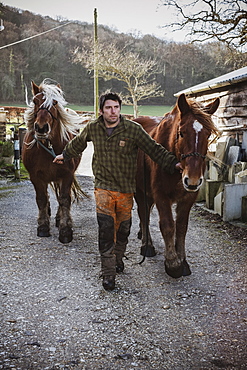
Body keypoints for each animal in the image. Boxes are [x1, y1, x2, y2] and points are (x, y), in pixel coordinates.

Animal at [22, 79, 86, 244]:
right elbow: (42, 199)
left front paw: (65, 229)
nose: (41, 128)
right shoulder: (35, 177)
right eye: (35, 101)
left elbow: (64, 199)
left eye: (55, 102)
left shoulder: (66, 175)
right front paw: (43, 226)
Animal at [134, 92, 219, 278]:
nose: (192, 179)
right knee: (143, 213)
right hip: (139, 189)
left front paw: (183, 260)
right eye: (181, 133)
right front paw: (172, 263)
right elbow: (167, 225)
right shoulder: (160, 195)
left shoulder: (189, 197)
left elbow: (181, 227)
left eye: (208, 134)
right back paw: (147, 244)